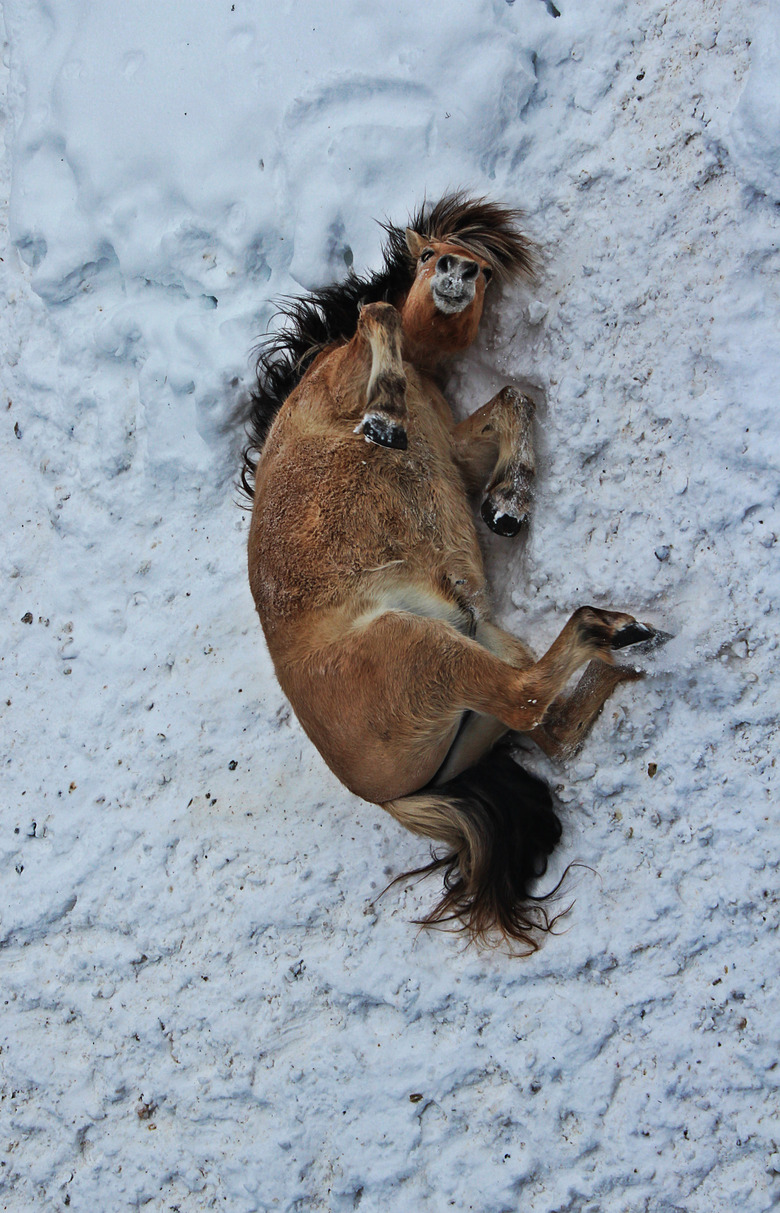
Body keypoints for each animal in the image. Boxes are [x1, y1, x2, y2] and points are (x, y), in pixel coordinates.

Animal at [241, 194, 655, 950]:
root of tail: (389, 795)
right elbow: (378, 314)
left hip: (483, 655)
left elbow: (515, 399)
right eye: (431, 254)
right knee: (528, 699)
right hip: (430, 650)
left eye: (483, 270)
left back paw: (617, 659)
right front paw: (384, 419)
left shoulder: (455, 449)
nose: (456, 273)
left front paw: (508, 505)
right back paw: (607, 629)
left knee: (549, 721)